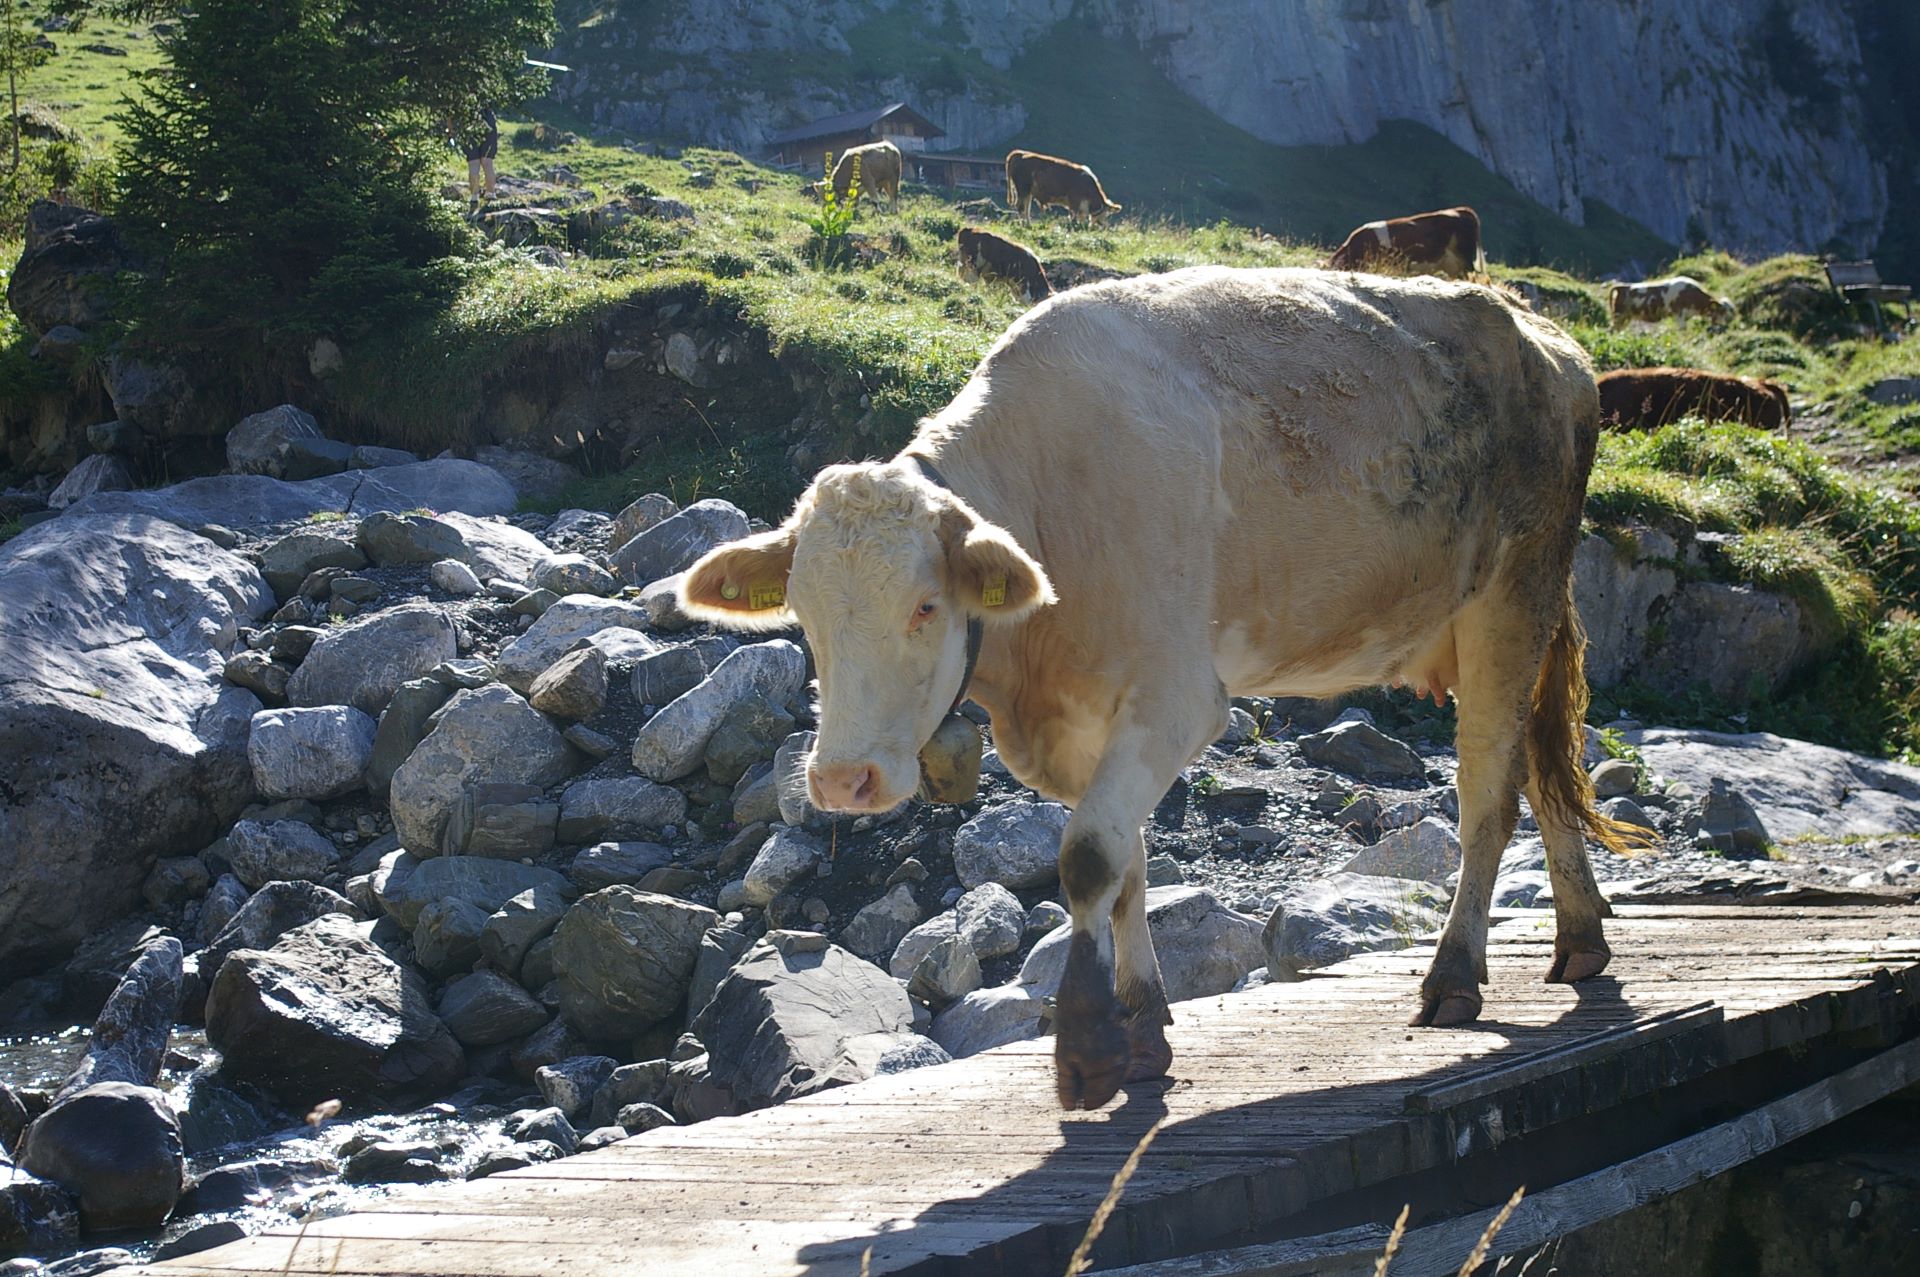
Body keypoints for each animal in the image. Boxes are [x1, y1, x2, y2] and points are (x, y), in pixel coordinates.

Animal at [683, 266, 1643, 1106]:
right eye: (804, 612)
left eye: (925, 605)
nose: (842, 778)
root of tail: (1548, 336)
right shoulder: (1083, 726)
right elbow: (1128, 863)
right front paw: (1144, 1025)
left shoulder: (1178, 696)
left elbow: (1086, 856)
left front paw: (1088, 1047)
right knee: (1540, 766)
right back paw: (1581, 934)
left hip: (1511, 594)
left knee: (1488, 788)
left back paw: (1455, 976)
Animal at [1605, 276, 1743, 326]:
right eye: (1721, 311)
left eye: (1729, 312)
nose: (1723, 325)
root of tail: (1623, 286)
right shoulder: (1679, 315)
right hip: (1619, 316)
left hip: (1625, 318)